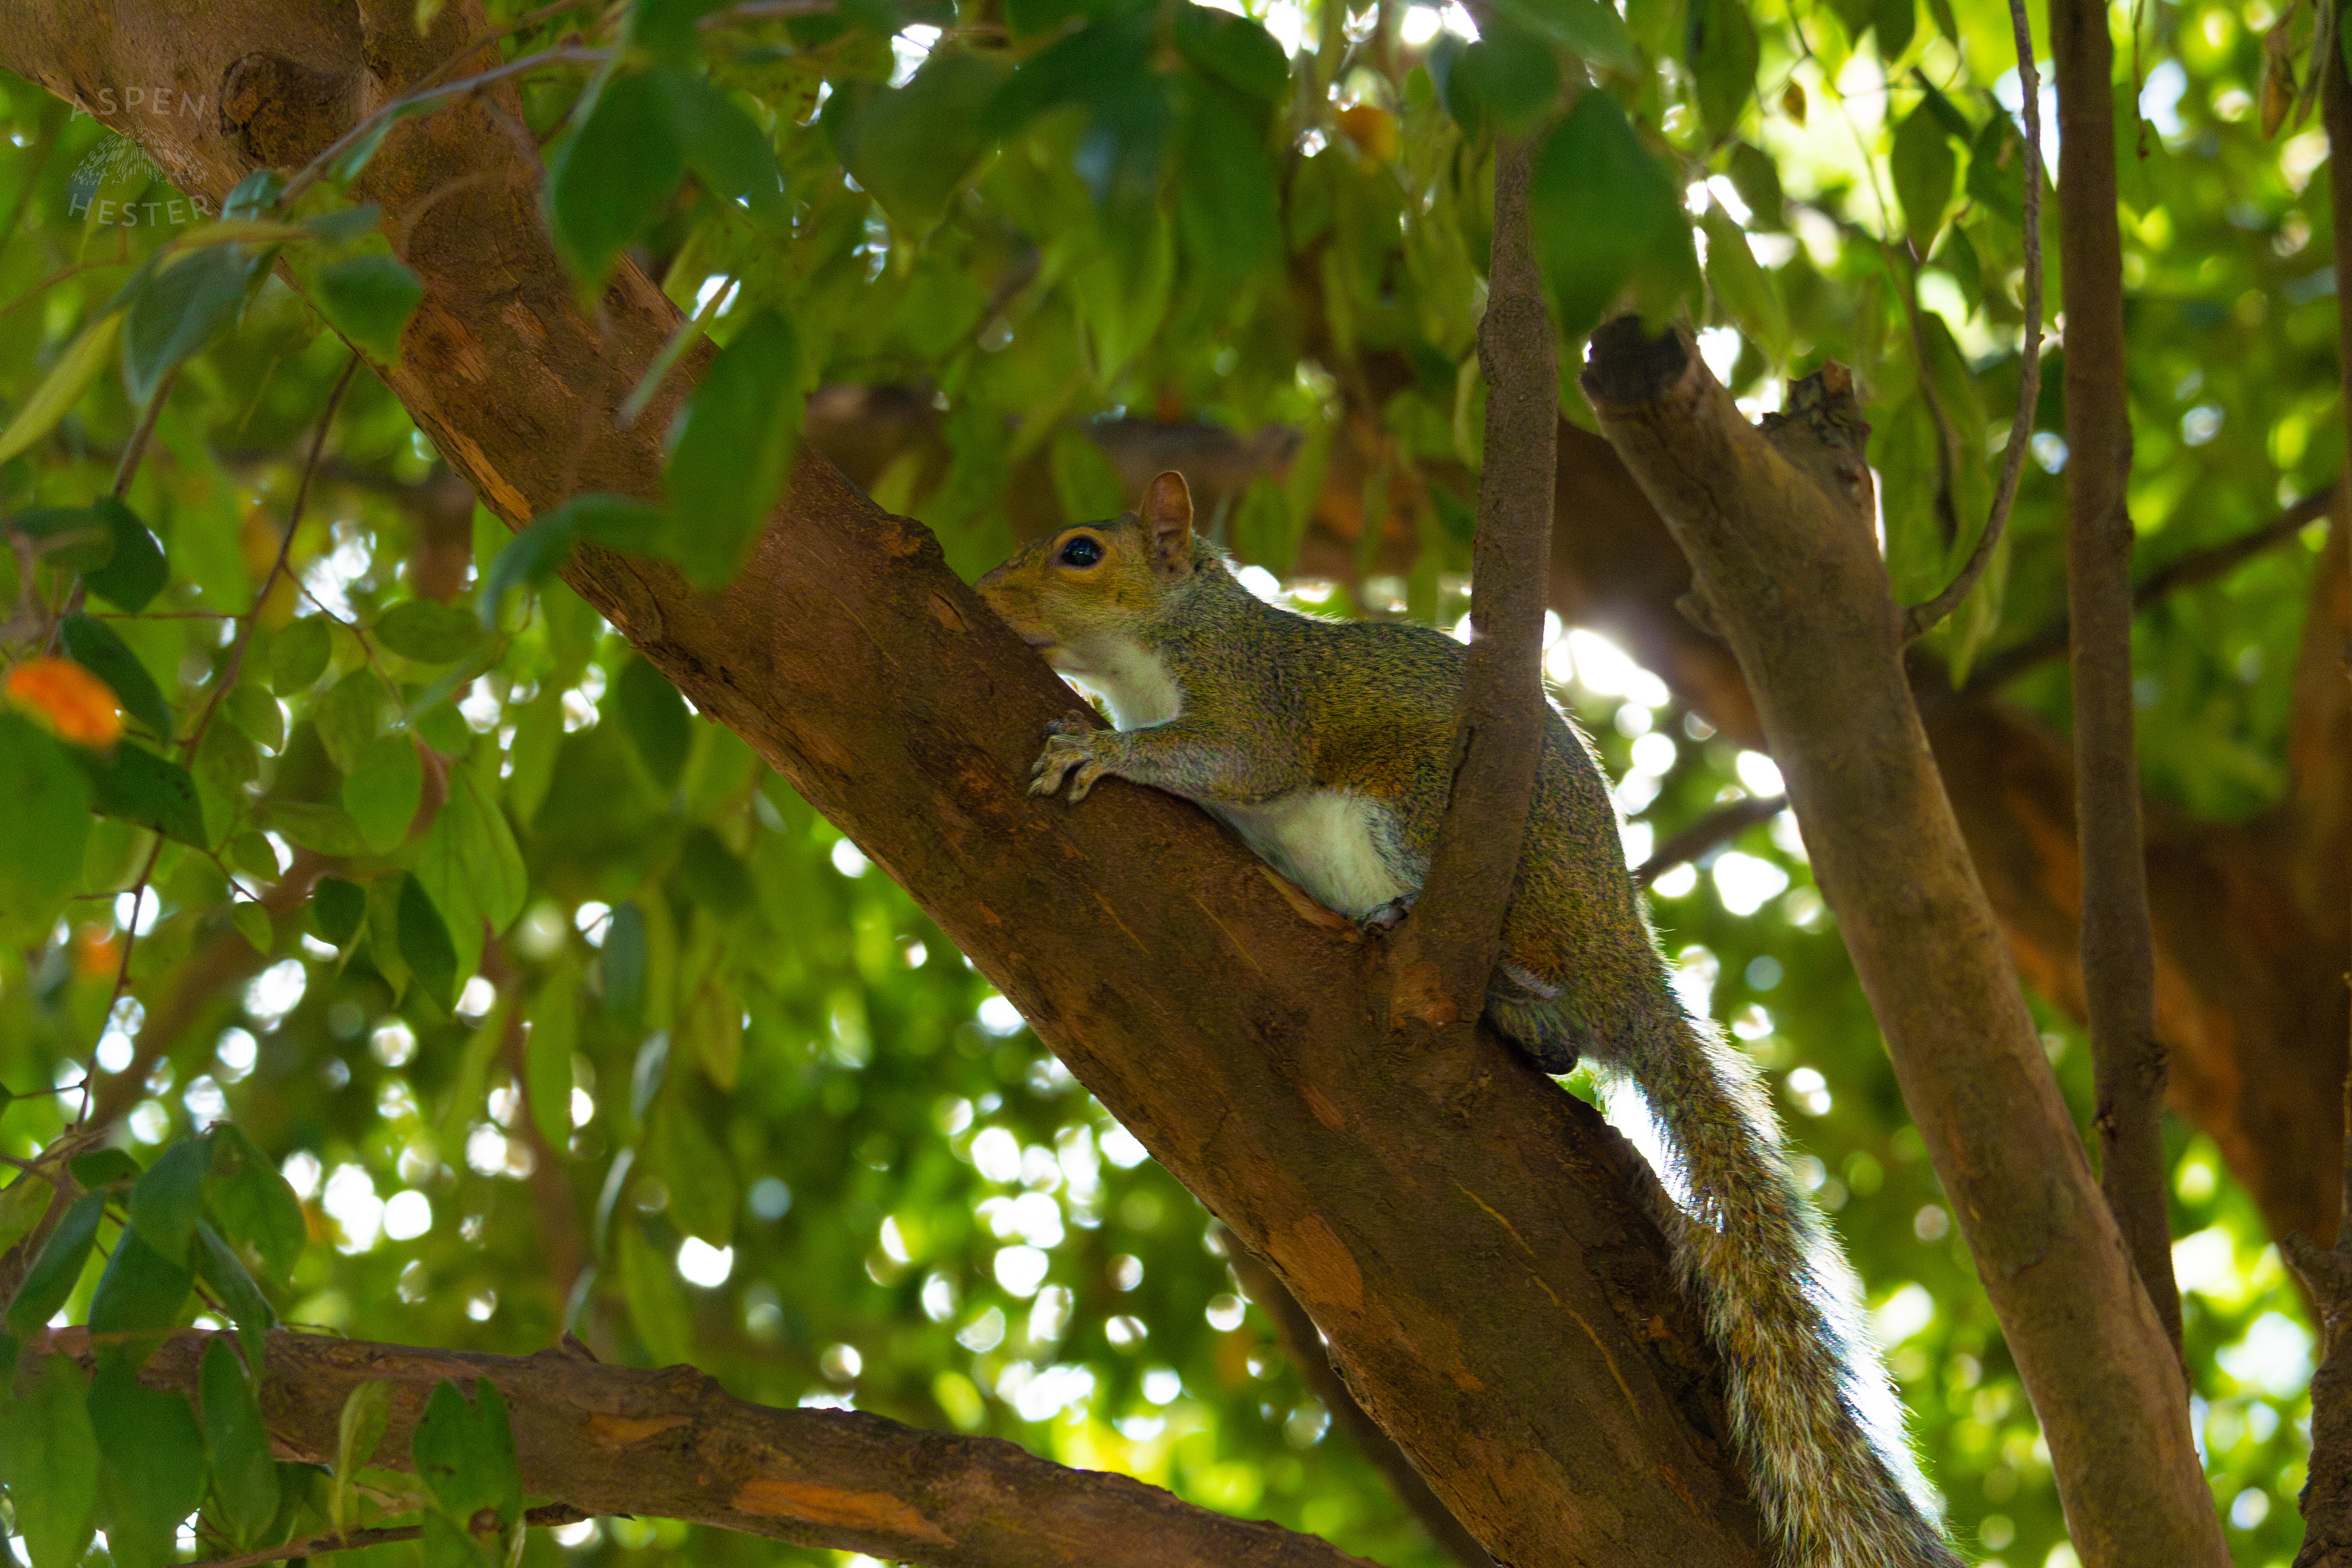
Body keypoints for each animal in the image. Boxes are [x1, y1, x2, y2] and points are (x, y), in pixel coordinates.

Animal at [978, 469, 1960, 1568]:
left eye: (1080, 553)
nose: (987, 592)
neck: (1170, 636)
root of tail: (1624, 964)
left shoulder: (1258, 695)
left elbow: (1240, 761)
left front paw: (1103, 750)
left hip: (1433, 820)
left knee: (1554, 1011)